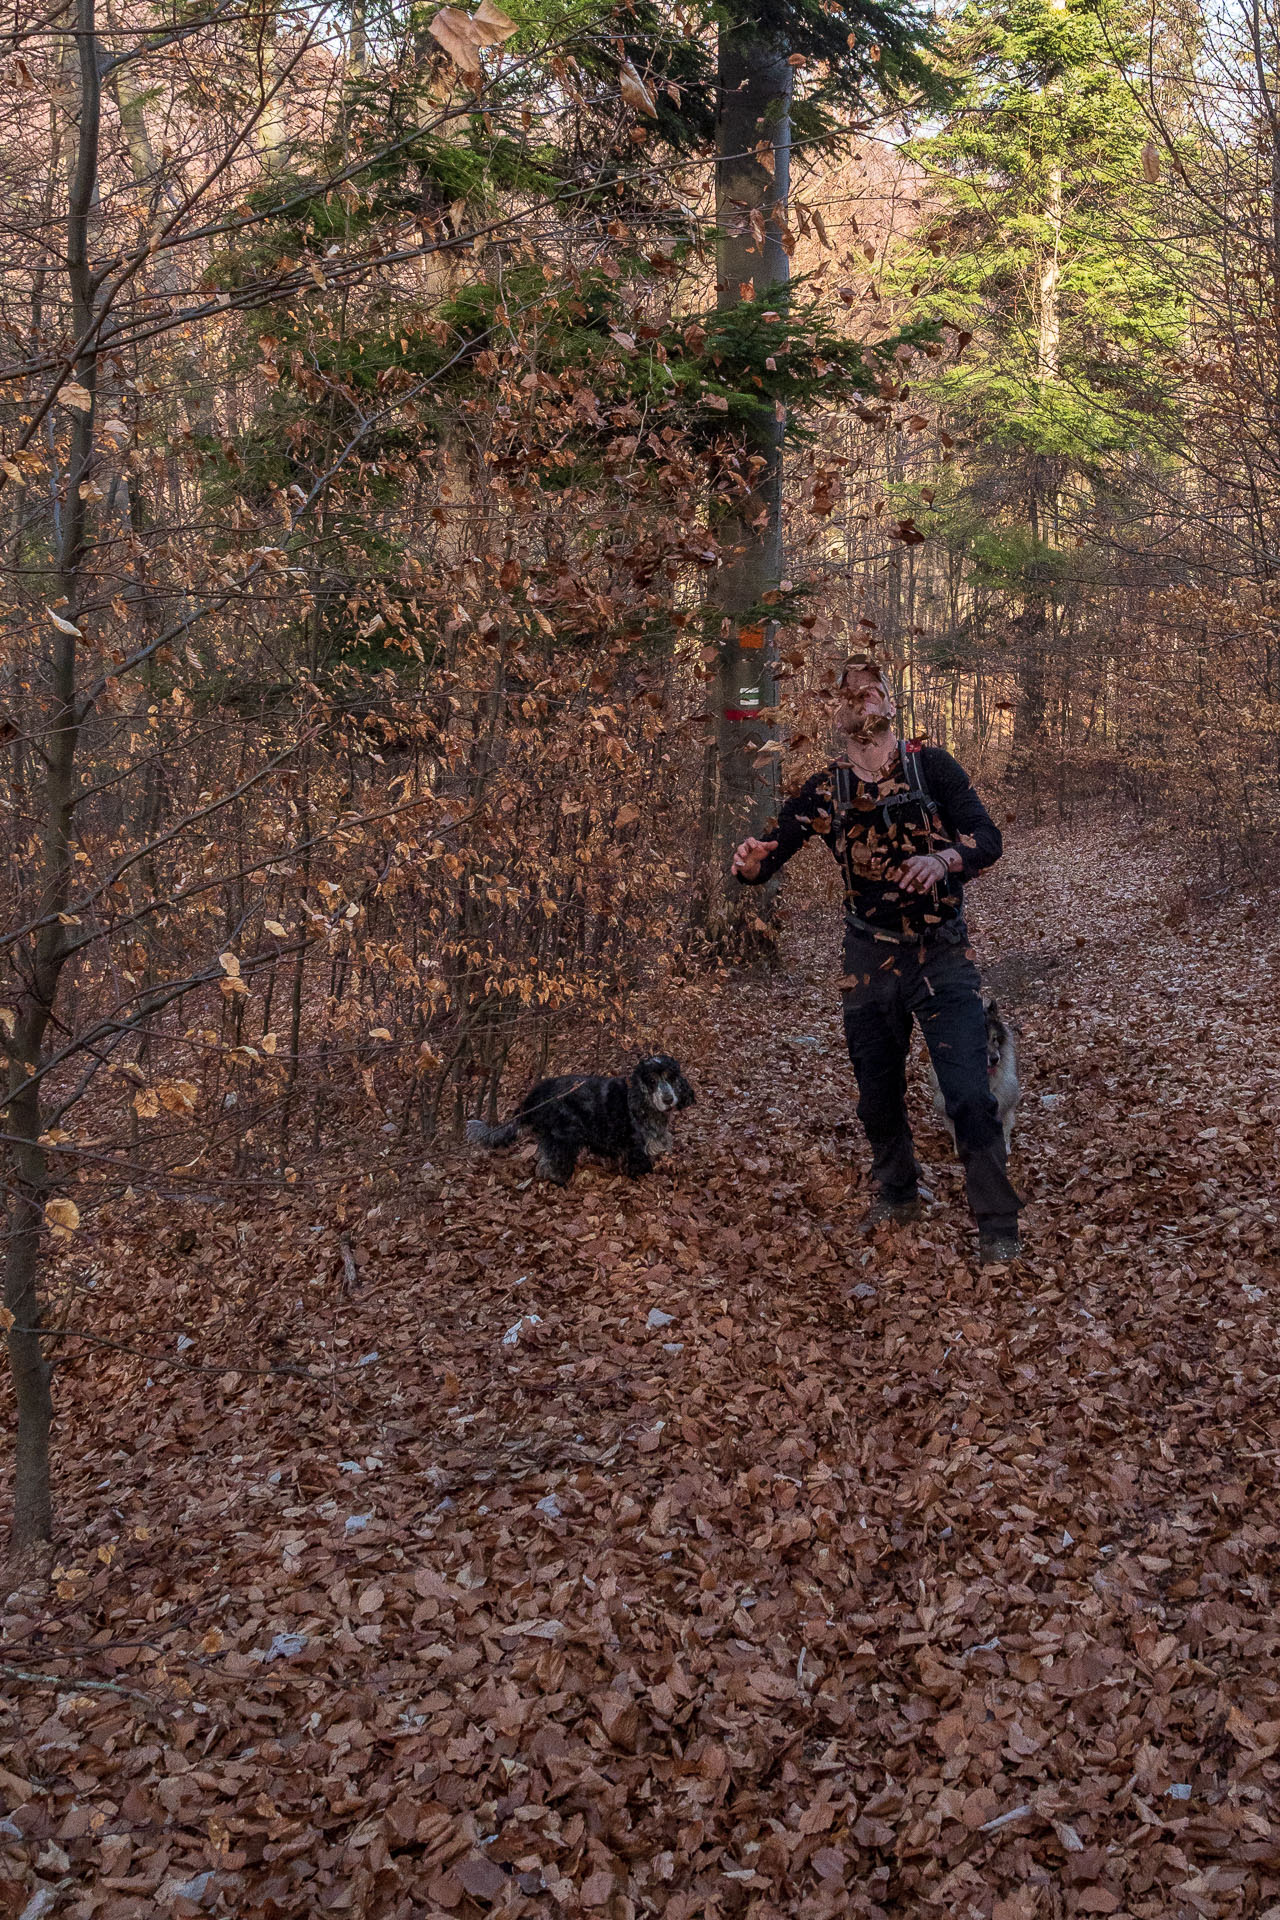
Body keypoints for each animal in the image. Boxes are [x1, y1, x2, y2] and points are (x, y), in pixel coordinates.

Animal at [466, 1059, 694, 1175]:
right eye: (652, 1080)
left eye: (671, 1077)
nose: (668, 1099)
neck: (642, 1102)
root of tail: (534, 1095)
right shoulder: (635, 1146)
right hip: (565, 1134)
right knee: (549, 1163)